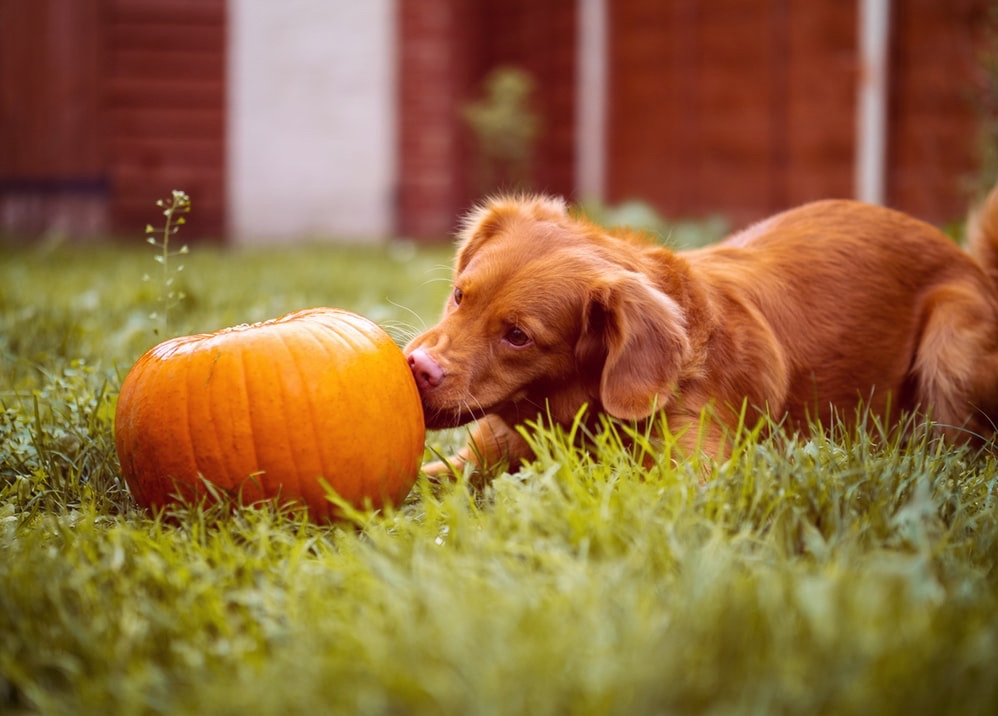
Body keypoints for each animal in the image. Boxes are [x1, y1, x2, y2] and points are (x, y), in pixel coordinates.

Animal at [402, 189, 998, 476]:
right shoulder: (472, 460)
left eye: (518, 336)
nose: (418, 368)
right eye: (460, 296)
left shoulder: (692, 478)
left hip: (951, 343)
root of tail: (970, 263)